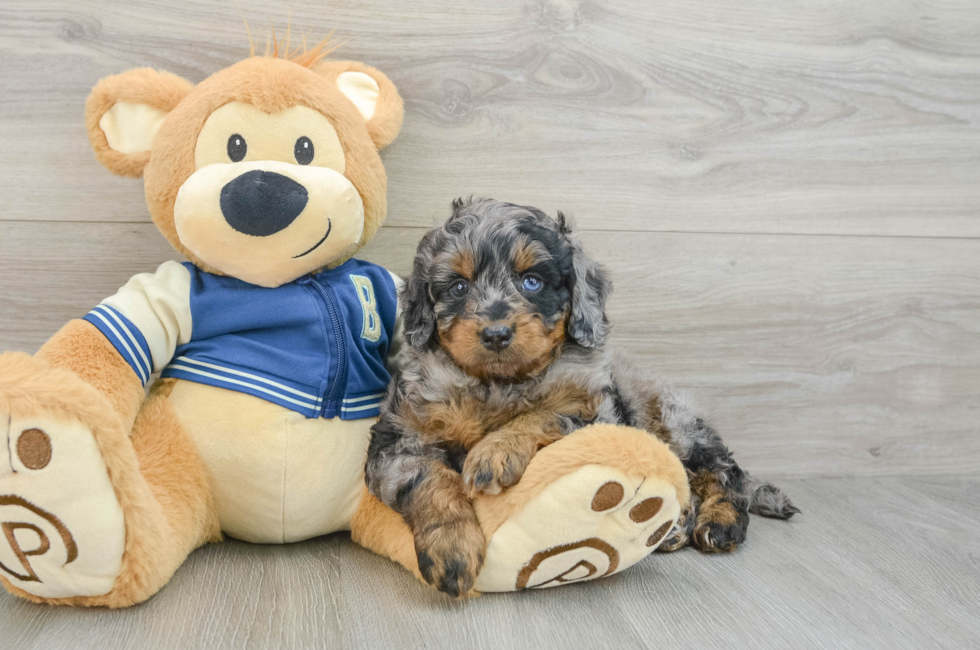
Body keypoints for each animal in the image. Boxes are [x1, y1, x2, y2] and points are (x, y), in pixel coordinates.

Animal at [368, 199, 796, 596]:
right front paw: (452, 550)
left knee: (723, 472)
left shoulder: (597, 412)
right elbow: (429, 480)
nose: (495, 334)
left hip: (673, 419)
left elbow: (545, 414)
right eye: (458, 286)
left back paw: (719, 522)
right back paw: (675, 529)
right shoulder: (399, 438)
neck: (499, 384)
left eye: (532, 282)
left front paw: (495, 451)